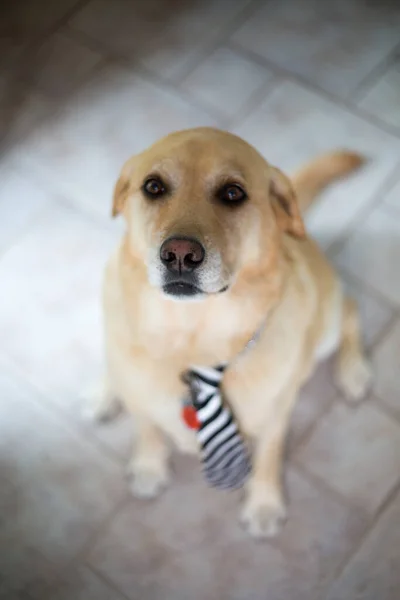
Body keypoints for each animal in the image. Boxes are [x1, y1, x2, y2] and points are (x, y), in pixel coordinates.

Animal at [86, 126, 370, 540]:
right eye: (153, 186)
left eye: (233, 193)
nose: (179, 255)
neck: (192, 341)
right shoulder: (141, 397)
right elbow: (147, 428)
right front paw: (148, 466)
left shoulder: (275, 416)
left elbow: (268, 458)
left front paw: (264, 504)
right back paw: (103, 393)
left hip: (330, 322)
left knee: (351, 312)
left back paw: (353, 372)